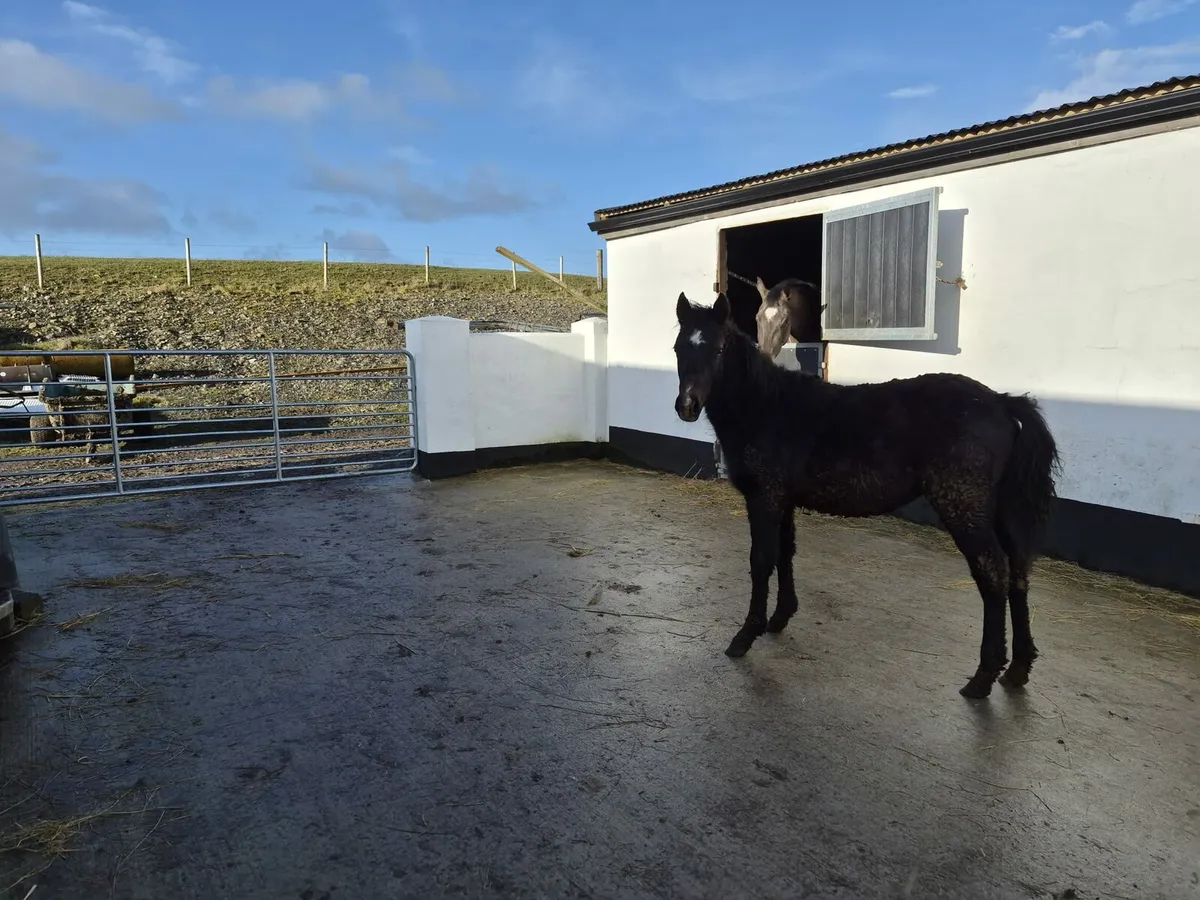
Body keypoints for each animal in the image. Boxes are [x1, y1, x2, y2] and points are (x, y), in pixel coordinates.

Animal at [673, 291, 1061, 699]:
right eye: (679, 347)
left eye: (718, 348)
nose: (687, 406)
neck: (766, 408)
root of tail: (1002, 402)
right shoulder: (784, 500)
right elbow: (785, 553)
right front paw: (781, 617)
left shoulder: (764, 498)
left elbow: (761, 560)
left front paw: (746, 635)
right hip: (999, 511)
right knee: (1018, 571)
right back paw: (1017, 669)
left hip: (965, 507)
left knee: (993, 572)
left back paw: (983, 676)